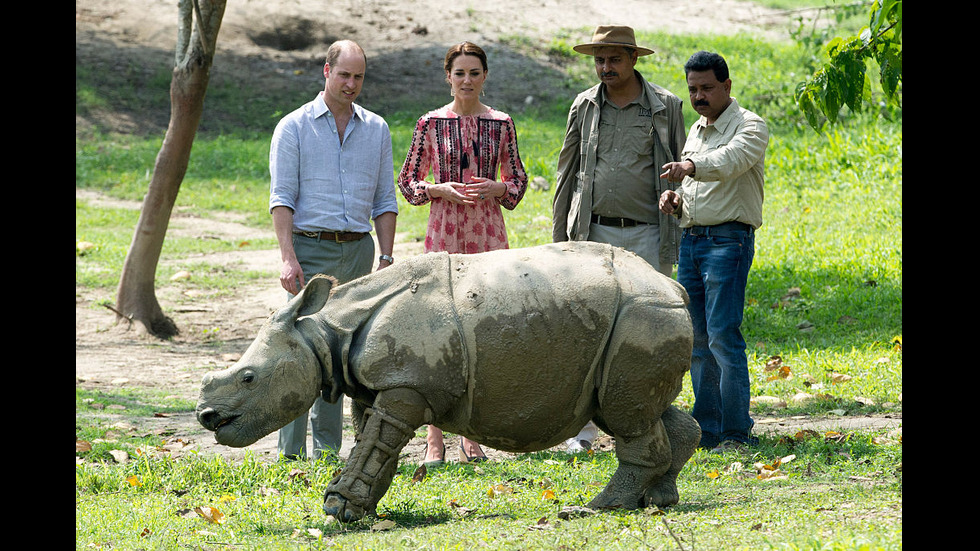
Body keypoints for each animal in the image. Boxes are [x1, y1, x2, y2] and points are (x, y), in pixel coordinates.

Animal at [197, 242, 696, 520]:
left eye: (248, 378)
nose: (206, 416)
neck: (325, 330)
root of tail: (673, 286)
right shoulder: (383, 386)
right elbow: (375, 445)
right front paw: (364, 507)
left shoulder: (408, 386)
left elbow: (376, 443)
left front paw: (338, 508)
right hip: (637, 322)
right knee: (639, 410)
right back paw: (660, 500)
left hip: (641, 316)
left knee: (626, 415)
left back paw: (593, 509)